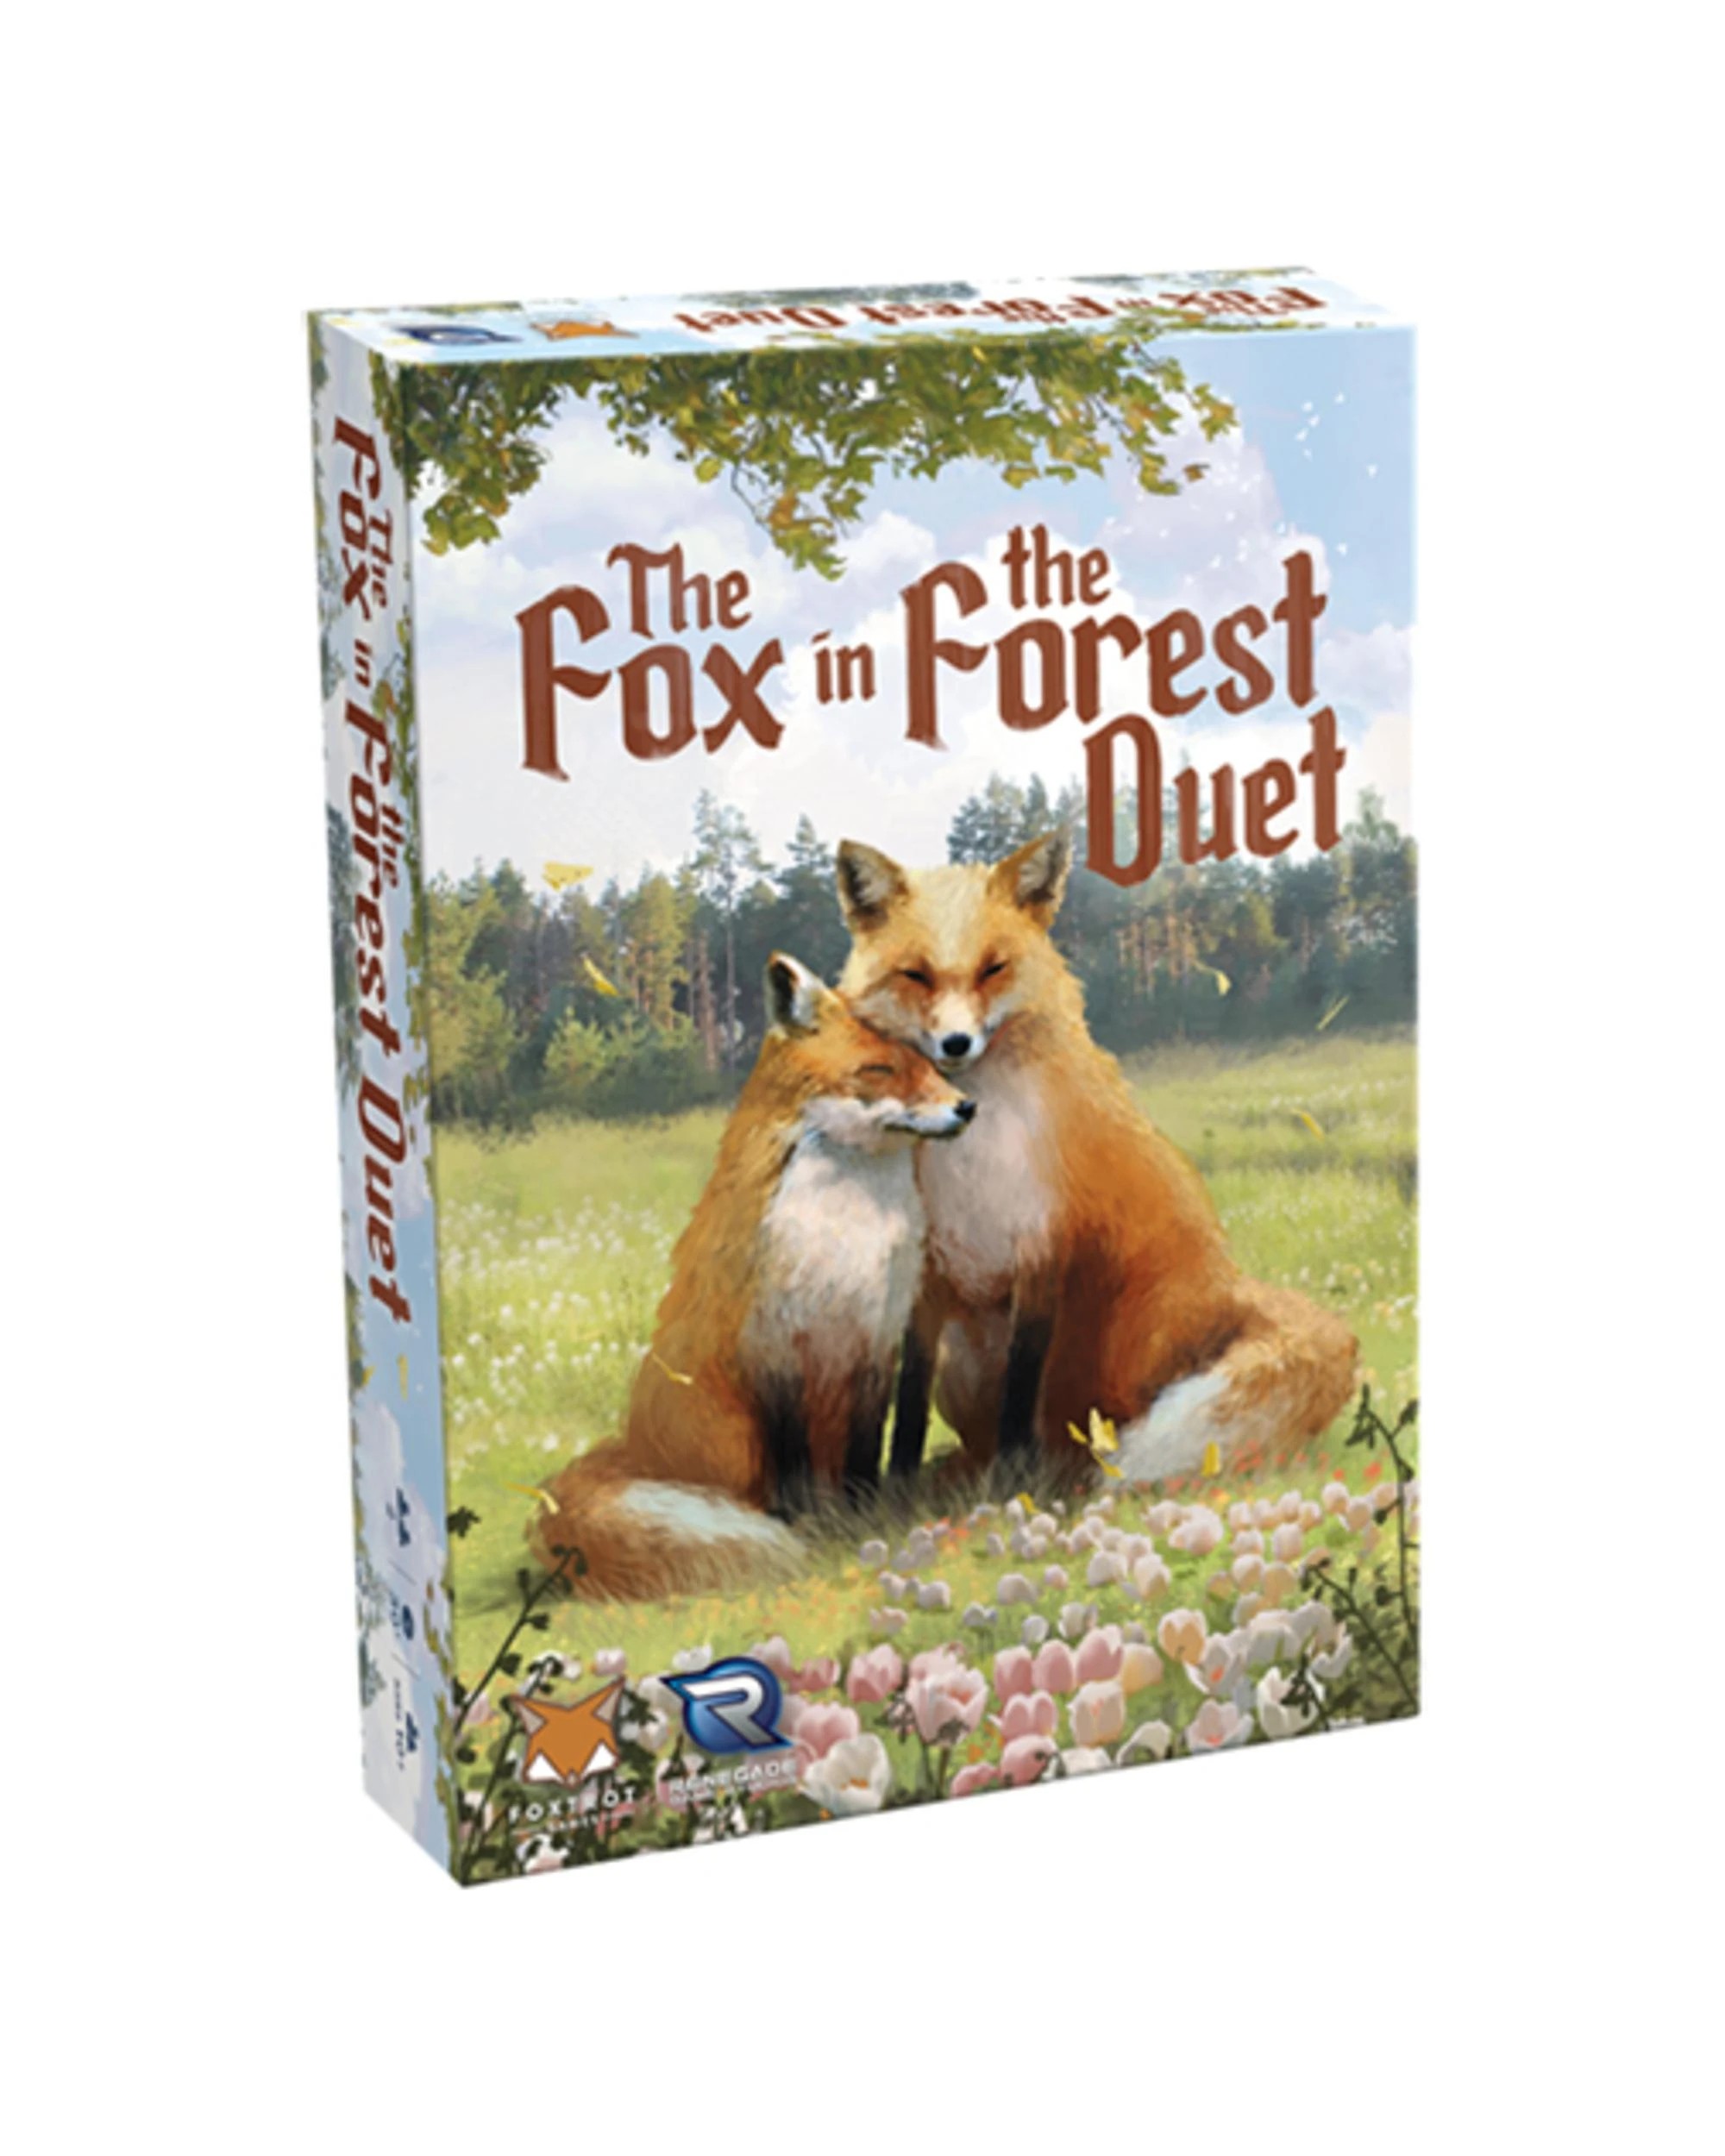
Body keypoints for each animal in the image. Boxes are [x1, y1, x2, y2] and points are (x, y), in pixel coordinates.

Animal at [531, 952, 975, 1599]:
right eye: (879, 1069)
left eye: (931, 1065)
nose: (967, 1107)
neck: (846, 1234)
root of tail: (632, 1448)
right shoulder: (773, 1343)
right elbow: (791, 1465)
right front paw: (807, 1528)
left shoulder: (875, 1339)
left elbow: (867, 1448)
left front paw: (865, 1516)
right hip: (734, 1436)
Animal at [834, 830, 1358, 1486]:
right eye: (915, 975)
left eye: (993, 969)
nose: (955, 1044)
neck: (973, 1157)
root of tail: (1234, 1291)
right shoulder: (927, 1273)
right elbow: (908, 1393)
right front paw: (893, 1484)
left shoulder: (1043, 1250)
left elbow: (1022, 1384)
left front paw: (1013, 1478)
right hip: (965, 1364)